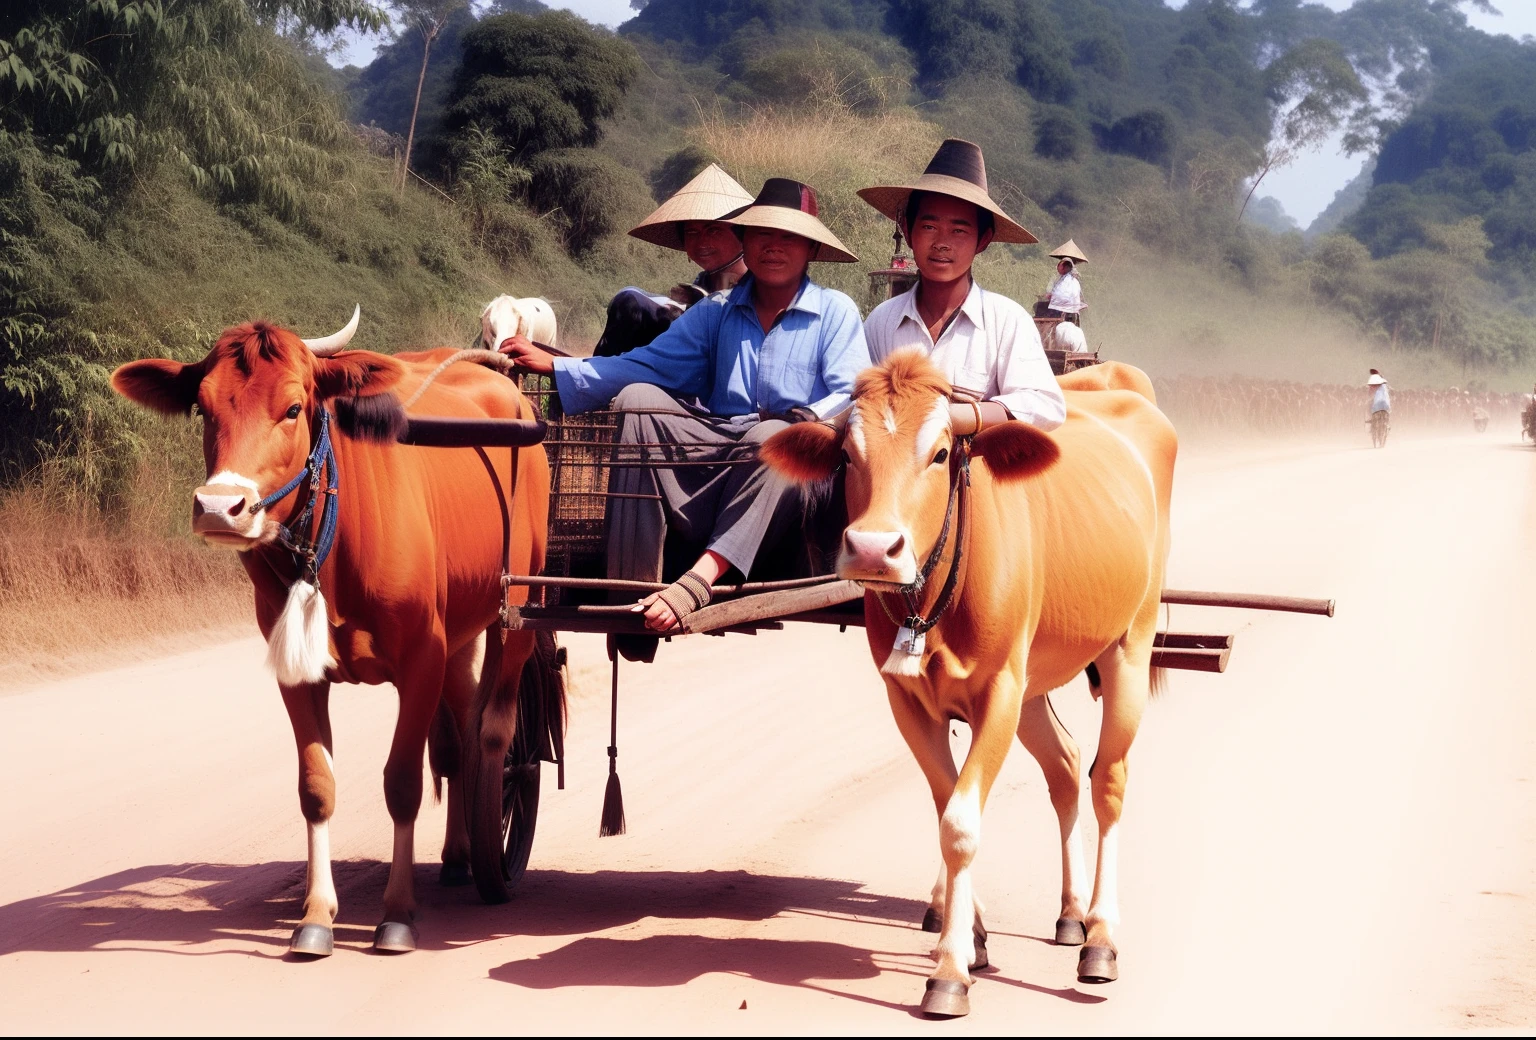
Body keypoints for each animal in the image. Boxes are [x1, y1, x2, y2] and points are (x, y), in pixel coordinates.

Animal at [764, 348, 1173, 1013]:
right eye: (847, 456)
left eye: (938, 454)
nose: (873, 550)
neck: (932, 599)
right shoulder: (908, 700)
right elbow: (946, 808)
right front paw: (969, 936)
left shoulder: (999, 692)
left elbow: (960, 825)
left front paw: (950, 970)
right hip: (1037, 683)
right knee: (1066, 767)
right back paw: (1071, 914)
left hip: (1127, 649)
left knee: (1108, 780)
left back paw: (1101, 938)